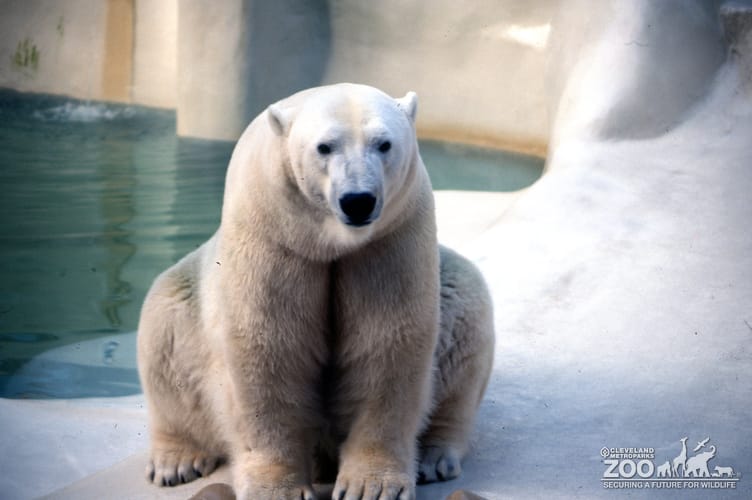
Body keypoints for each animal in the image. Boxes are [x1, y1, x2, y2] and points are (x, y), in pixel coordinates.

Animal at [137, 83, 495, 500]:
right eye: (325, 147)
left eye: (384, 144)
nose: (358, 200)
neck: (330, 242)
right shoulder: (275, 241)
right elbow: (268, 351)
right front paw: (279, 490)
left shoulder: (387, 242)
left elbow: (385, 346)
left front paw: (370, 486)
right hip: (186, 295)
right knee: (163, 333)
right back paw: (177, 460)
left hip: (450, 283)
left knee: (467, 315)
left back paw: (435, 457)